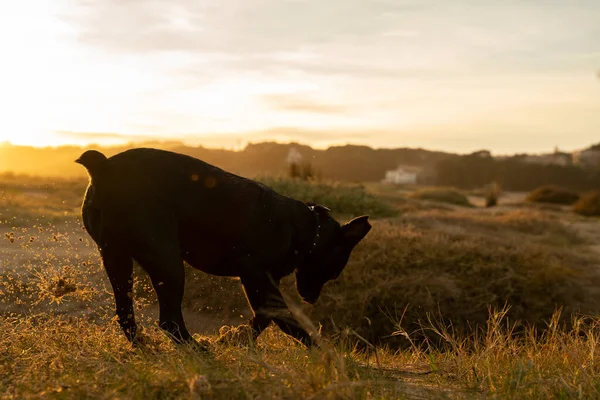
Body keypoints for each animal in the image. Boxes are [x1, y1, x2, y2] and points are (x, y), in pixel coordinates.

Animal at [75, 148, 370, 348]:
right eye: (333, 272)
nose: (311, 299)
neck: (307, 229)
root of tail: (102, 167)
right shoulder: (255, 277)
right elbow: (279, 318)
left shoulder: (261, 282)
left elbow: (266, 317)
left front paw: (234, 339)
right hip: (167, 264)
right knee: (169, 321)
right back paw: (198, 351)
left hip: (116, 257)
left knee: (126, 314)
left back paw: (147, 349)